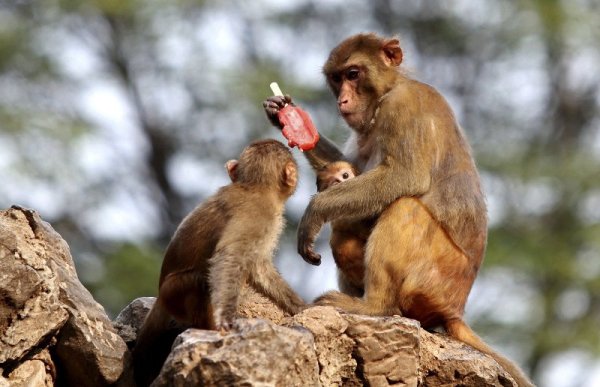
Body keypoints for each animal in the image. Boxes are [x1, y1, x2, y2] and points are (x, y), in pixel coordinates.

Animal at [134, 140, 308, 387]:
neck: (254, 188)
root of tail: (160, 299)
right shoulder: (258, 214)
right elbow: (229, 256)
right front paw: (226, 320)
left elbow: (258, 269)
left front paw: (300, 307)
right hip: (174, 294)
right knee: (200, 280)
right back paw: (208, 328)